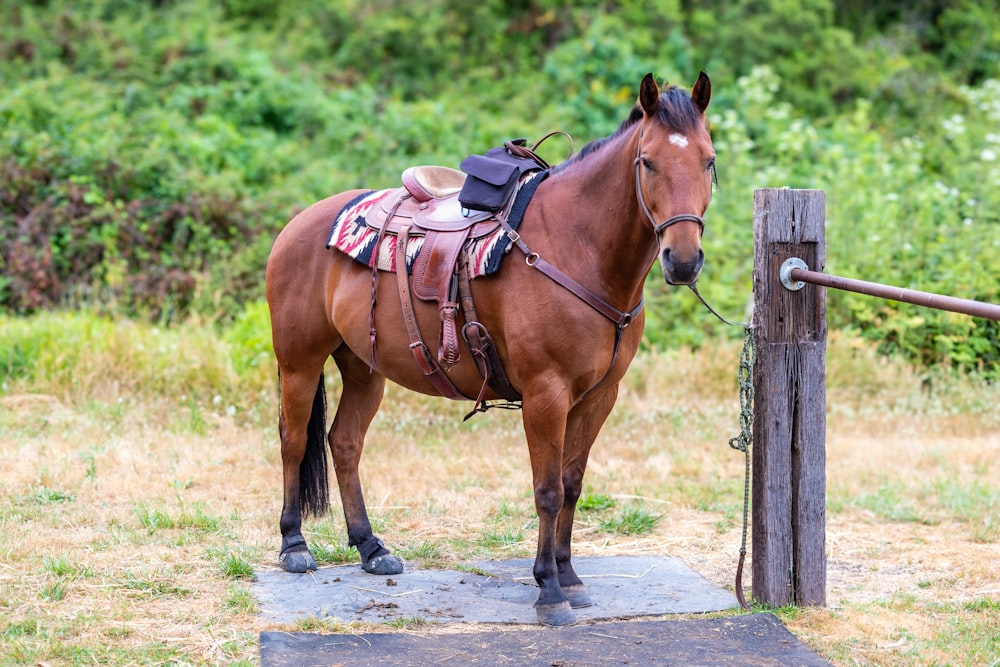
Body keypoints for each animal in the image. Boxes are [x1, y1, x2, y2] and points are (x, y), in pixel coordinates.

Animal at [266, 73, 716, 628]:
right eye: (648, 162)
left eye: (708, 161)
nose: (684, 260)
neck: (578, 247)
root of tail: (299, 223)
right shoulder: (546, 394)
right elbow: (547, 491)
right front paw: (549, 590)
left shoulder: (597, 397)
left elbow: (572, 484)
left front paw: (570, 576)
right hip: (299, 361)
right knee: (293, 440)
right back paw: (294, 545)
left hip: (365, 368)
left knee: (345, 442)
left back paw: (371, 548)